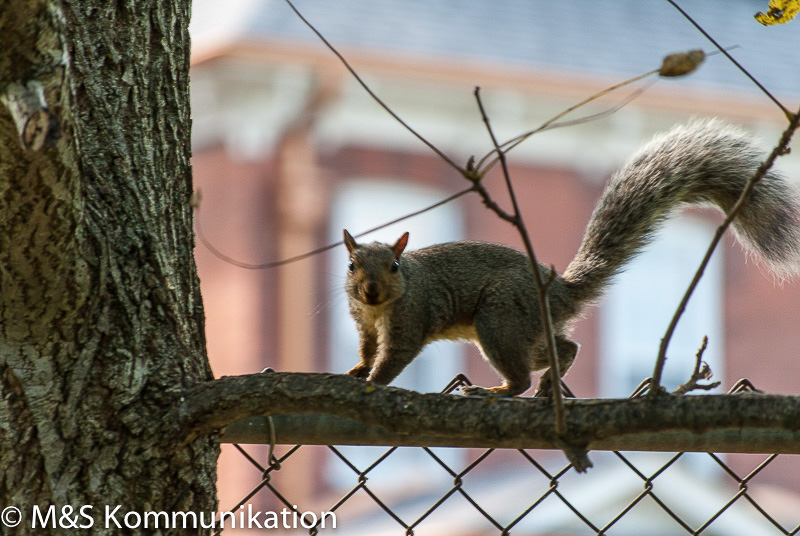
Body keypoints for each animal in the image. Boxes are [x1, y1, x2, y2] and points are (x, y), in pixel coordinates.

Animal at [342, 120, 800, 398]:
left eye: (395, 266)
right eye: (351, 266)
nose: (371, 290)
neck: (381, 307)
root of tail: (560, 291)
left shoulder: (412, 315)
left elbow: (395, 354)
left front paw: (372, 382)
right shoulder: (363, 322)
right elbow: (368, 348)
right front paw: (357, 369)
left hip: (500, 319)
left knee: (523, 373)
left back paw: (499, 390)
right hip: (522, 328)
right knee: (565, 346)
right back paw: (551, 376)